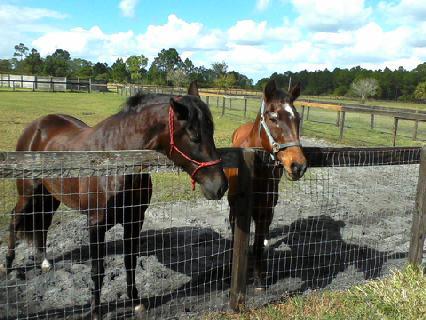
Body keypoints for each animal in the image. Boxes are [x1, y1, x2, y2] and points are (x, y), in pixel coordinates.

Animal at [4, 82, 230, 318]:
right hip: (28, 192)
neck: (116, 162)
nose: (220, 186)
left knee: (43, 223)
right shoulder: (95, 225)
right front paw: (95, 311)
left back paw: (44, 262)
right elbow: (97, 270)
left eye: (211, 132)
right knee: (14, 218)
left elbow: (130, 261)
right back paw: (9, 266)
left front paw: (136, 302)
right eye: (194, 136)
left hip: (50, 195)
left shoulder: (134, 221)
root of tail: (36, 126)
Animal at [226, 79, 306, 288]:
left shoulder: (264, 207)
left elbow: (257, 243)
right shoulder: (235, 206)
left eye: (298, 118)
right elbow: (236, 234)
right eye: (273, 118)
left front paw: (259, 280)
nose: (298, 165)